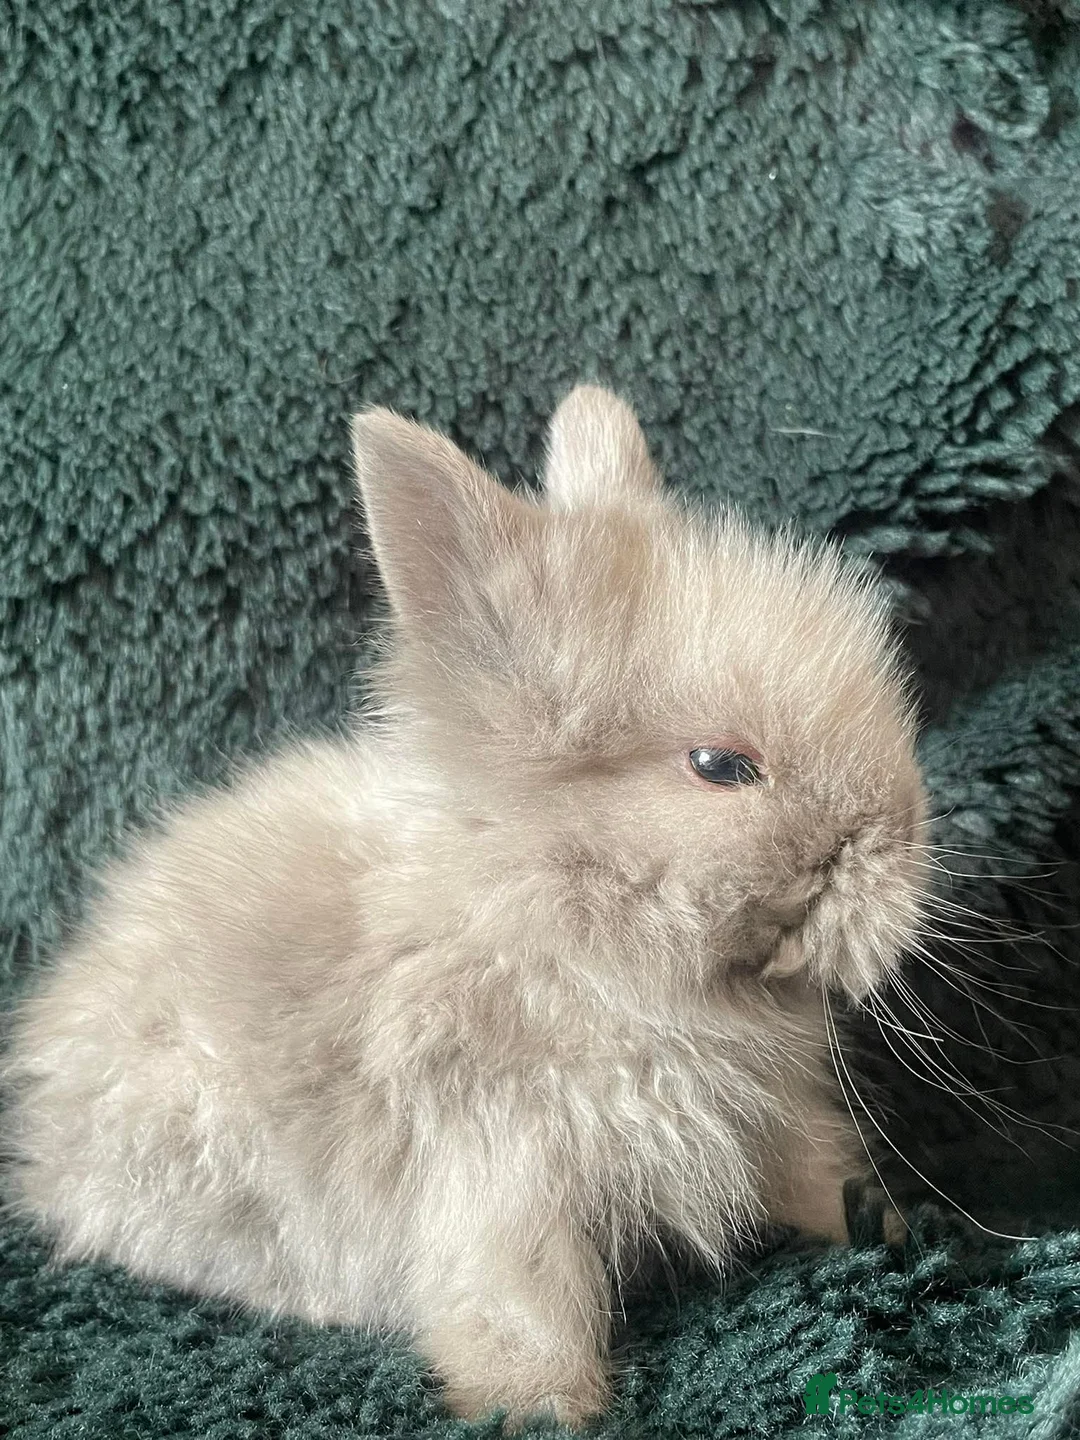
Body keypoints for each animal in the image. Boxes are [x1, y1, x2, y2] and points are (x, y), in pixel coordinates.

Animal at [2, 385, 928, 1428]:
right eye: (721, 766)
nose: (902, 846)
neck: (564, 920)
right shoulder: (502, 1163)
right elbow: (523, 1301)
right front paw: (543, 1408)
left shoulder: (763, 1124)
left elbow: (809, 1172)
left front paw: (884, 1221)